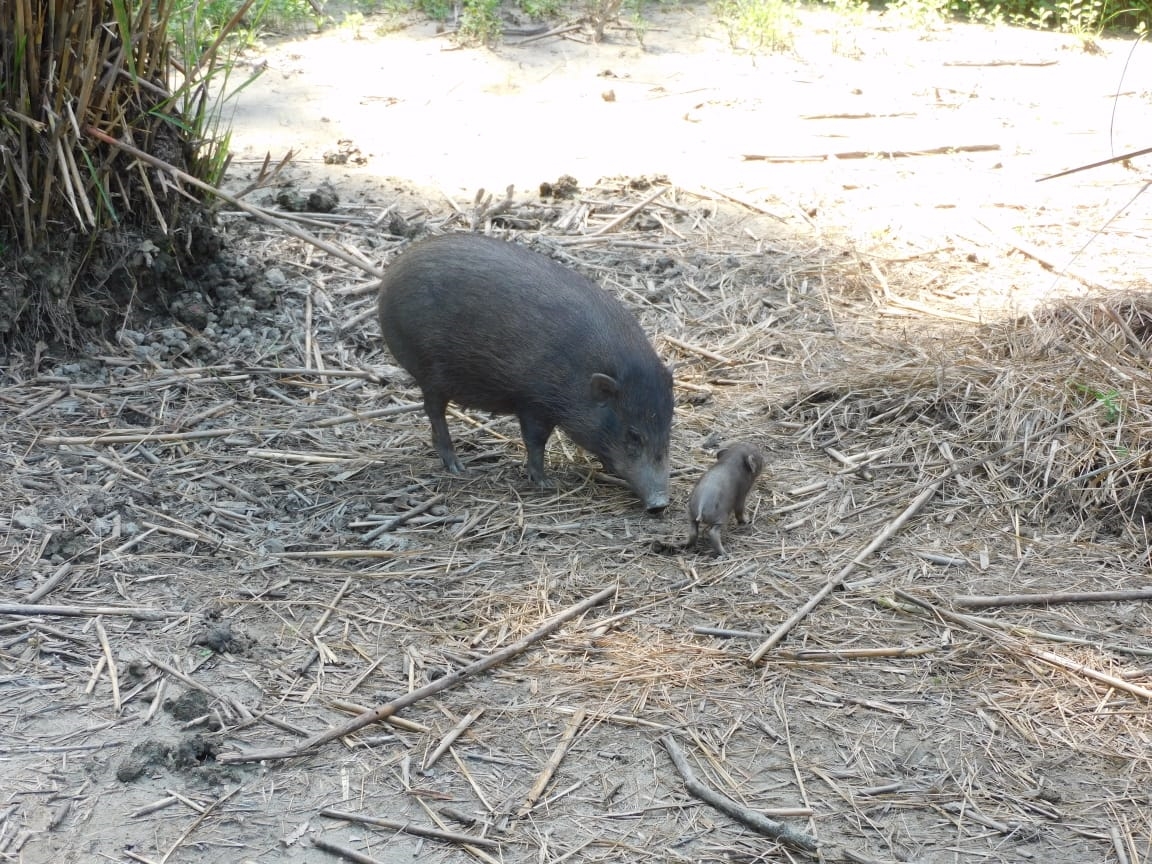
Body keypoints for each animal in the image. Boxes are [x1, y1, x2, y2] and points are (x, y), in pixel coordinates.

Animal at [375, 233, 672, 511]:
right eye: (633, 434)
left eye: (668, 428)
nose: (660, 503)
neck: (580, 374)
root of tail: (391, 273)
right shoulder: (533, 402)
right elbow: (535, 441)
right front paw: (546, 483)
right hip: (429, 372)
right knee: (434, 411)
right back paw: (457, 467)